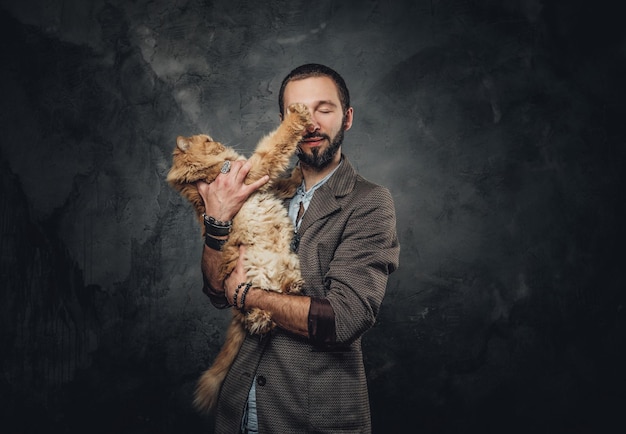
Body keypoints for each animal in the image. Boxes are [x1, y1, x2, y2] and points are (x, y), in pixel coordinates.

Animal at [166, 103, 312, 412]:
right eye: (208, 141)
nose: (220, 142)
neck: (201, 175)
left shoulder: (261, 179)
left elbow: (282, 181)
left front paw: (297, 175)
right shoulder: (255, 169)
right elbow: (278, 142)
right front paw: (298, 114)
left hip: (285, 265)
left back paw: (293, 285)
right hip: (254, 284)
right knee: (258, 314)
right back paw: (271, 309)